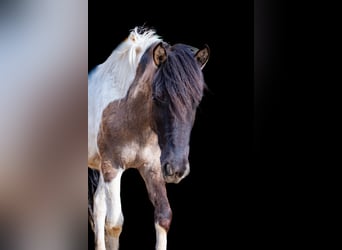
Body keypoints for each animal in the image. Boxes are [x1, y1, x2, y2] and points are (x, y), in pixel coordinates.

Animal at [88, 26, 210, 249]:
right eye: (159, 96)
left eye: (197, 100)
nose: (177, 168)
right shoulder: (113, 167)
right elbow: (114, 224)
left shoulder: (152, 167)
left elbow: (163, 217)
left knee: (98, 206)